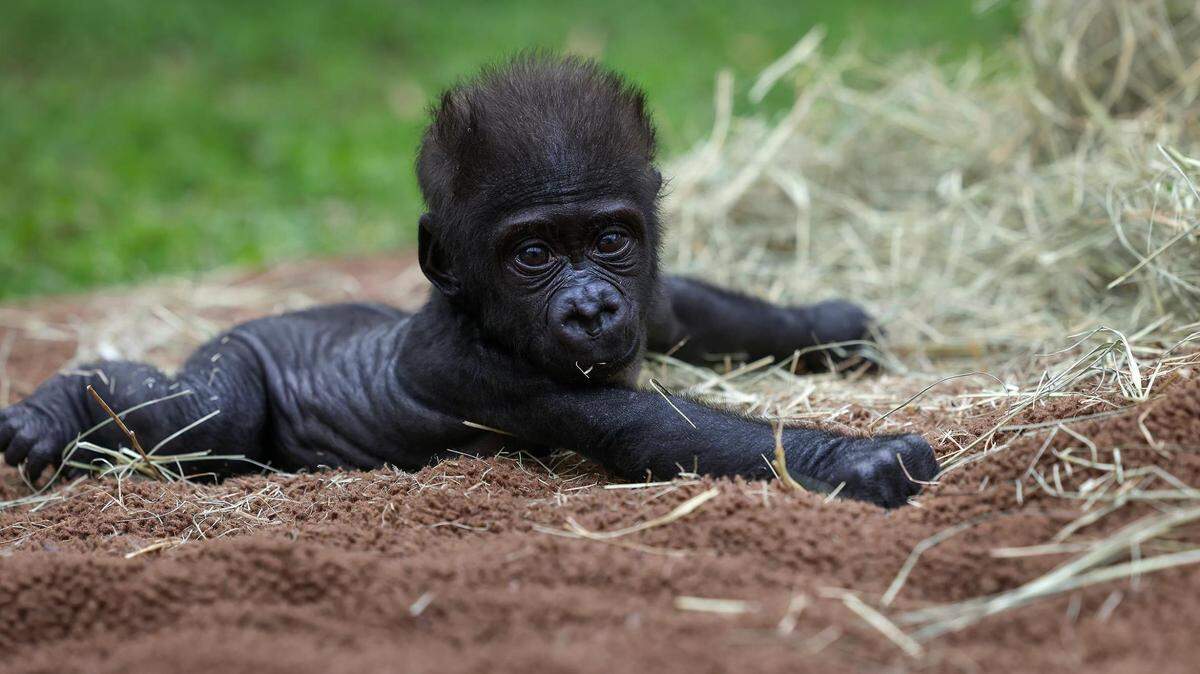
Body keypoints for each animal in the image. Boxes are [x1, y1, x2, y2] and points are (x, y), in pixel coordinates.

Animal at [0, 55, 937, 508]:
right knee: (207, 413)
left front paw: (825, 323)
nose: (590, 308)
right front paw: (857, 461)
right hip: (237, 353)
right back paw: (61, 402)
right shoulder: (479, 370)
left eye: (609, 240)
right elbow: (651, 430)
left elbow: (692, 308)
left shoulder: (648, 291)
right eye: (532, 256)